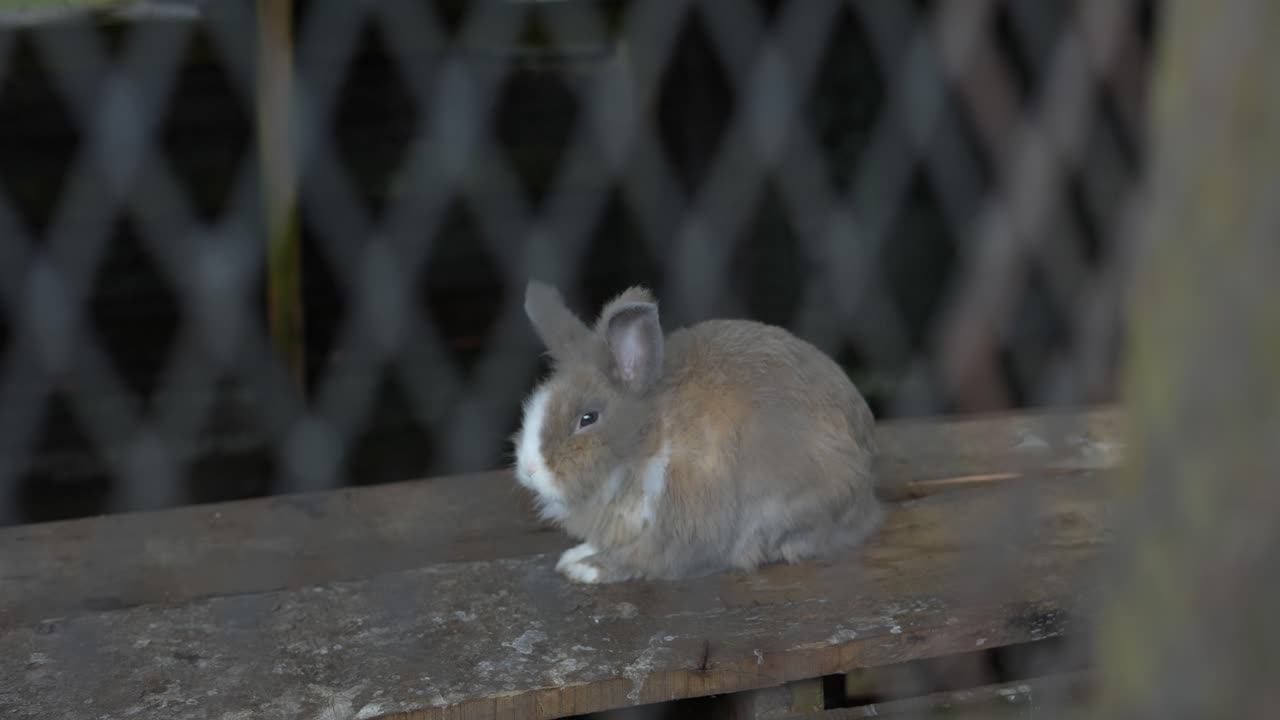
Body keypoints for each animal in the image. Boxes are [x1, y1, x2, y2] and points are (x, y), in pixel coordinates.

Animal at [513, 280, 882, 584]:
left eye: (587, 419)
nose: (529, 470)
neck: (652, 437)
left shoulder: (685, 511)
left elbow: (649, 557)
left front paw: (585, 567)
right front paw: (578, 553)